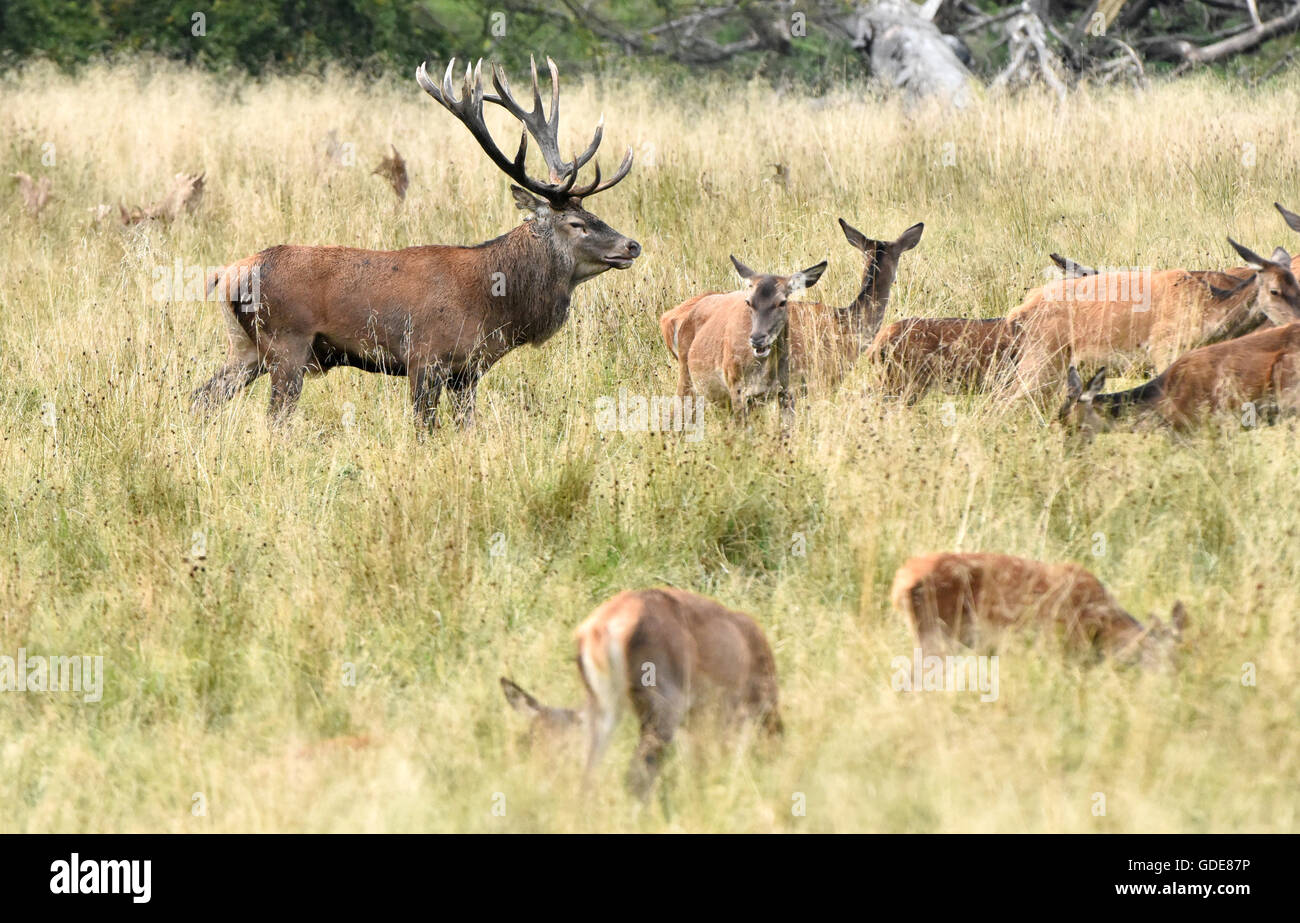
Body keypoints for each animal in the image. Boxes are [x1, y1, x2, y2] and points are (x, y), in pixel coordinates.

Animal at [193, 57, 639, 428]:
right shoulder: (425, 356)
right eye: (577, 223)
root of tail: (227, 275)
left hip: (246, 348)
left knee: (202, 396)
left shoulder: (467, 372)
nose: (631, 245)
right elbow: (423, 427)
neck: (492, 303)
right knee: (273, 420)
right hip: (287, 342)